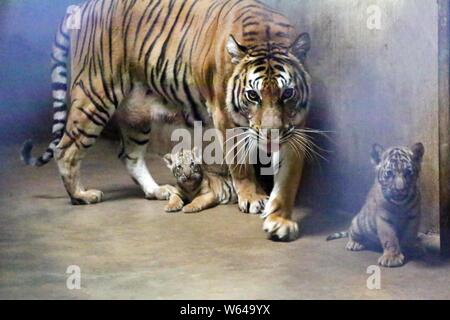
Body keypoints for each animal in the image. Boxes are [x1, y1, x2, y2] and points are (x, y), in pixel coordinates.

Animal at [22, 0, 310, 240]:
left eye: (287, 93)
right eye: (252, 95)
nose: (271, 134)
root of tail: (80, 6)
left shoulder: (295, 126)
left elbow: (288, 173)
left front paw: (279, 216)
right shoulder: (225, 118)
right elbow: (240, 163)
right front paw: (252, 197)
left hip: (136, 115)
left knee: (130, 156)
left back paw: (157, 191)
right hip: (95, 96)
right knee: (65, 150)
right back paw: (81, 195)